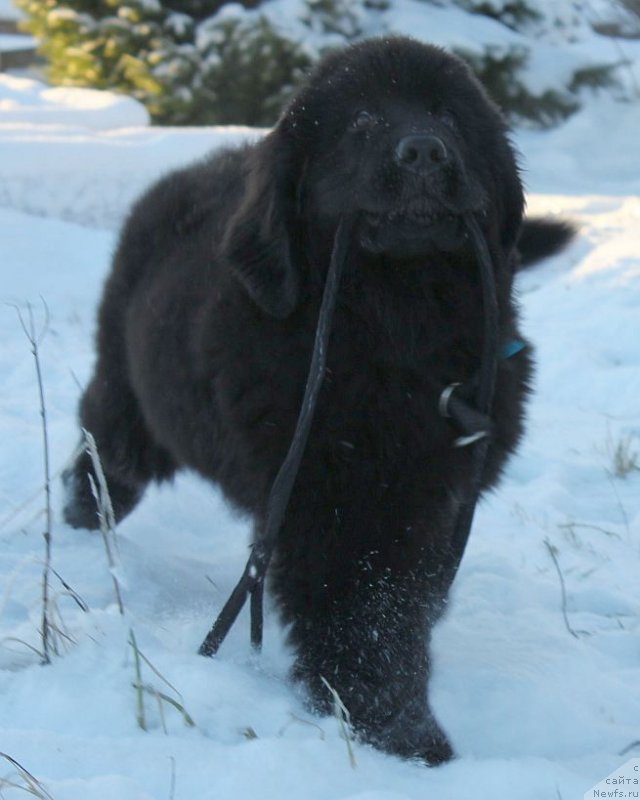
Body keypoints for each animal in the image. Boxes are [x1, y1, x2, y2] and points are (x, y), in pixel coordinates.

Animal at [65, 36, 572, 764]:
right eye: (361, 122)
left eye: (448, 117)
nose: (424, 150)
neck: (398, 329)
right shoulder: (331, 496)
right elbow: (364, 614)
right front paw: (400, 732)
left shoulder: (438, 493)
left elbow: (403, 599)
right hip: (128, 395)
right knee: (107, 452)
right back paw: (86, 523)